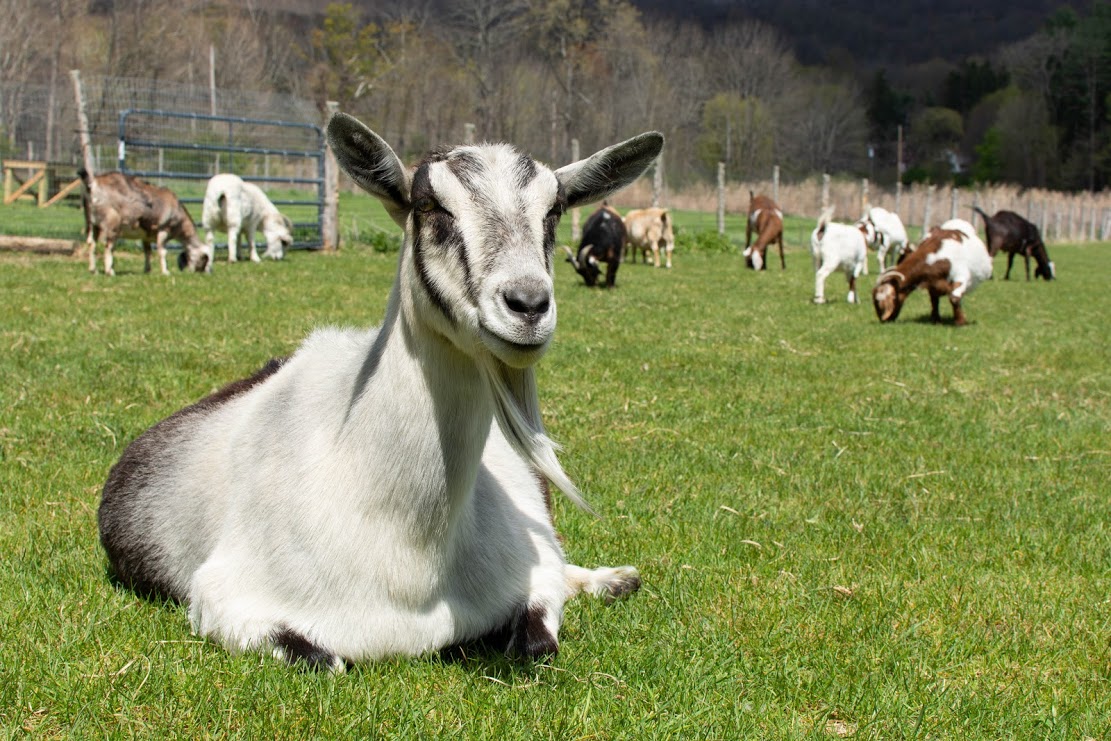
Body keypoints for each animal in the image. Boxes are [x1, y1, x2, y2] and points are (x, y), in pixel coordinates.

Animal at [80, 169, 210, 276]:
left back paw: (93, 270)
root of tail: (93, 186)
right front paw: (165, 272)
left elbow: (148, 252)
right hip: (112, 224)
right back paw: (109, 271)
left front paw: (147, 270)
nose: (201, 273)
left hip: (91, 223)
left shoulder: (146, 236)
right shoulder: (163, 230)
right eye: (204, 259)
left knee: (91, 243)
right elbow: (162, 252)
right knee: (108, 246)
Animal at [97, 111, 663, 670]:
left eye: (554, 211)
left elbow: (539, 639)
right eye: (429, 205)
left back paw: (616, 580)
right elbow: (325, 660)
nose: (527, 305)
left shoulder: (534, 568)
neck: (411, 554)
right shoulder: (227, 600)